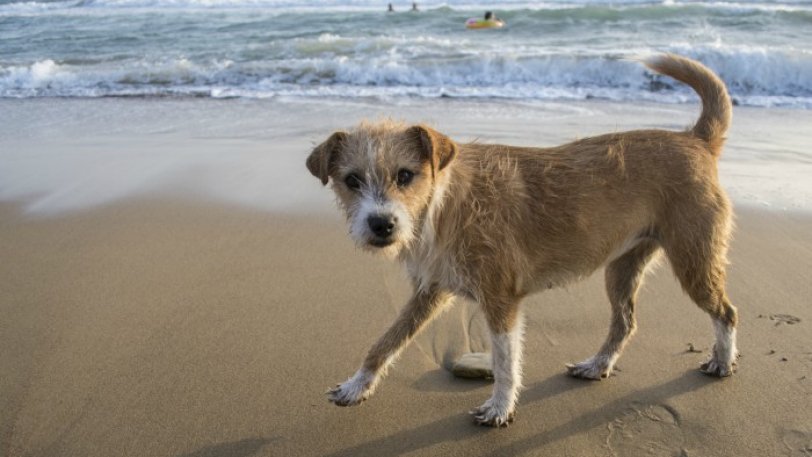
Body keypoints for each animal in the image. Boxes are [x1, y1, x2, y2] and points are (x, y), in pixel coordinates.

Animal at [308, 54, 740, 428]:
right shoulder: (428, 293)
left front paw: (500, 407)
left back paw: (722, 361)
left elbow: (505, 363)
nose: (381, 224)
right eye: (351, 180)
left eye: (405, 175)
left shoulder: (501, 301)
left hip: (694, 261)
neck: (443, 205)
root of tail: (696, 140)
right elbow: (386, 341)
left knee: (726, 312)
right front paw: (356, 385)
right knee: (625, 323)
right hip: (622, 268)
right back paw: (597, 365)